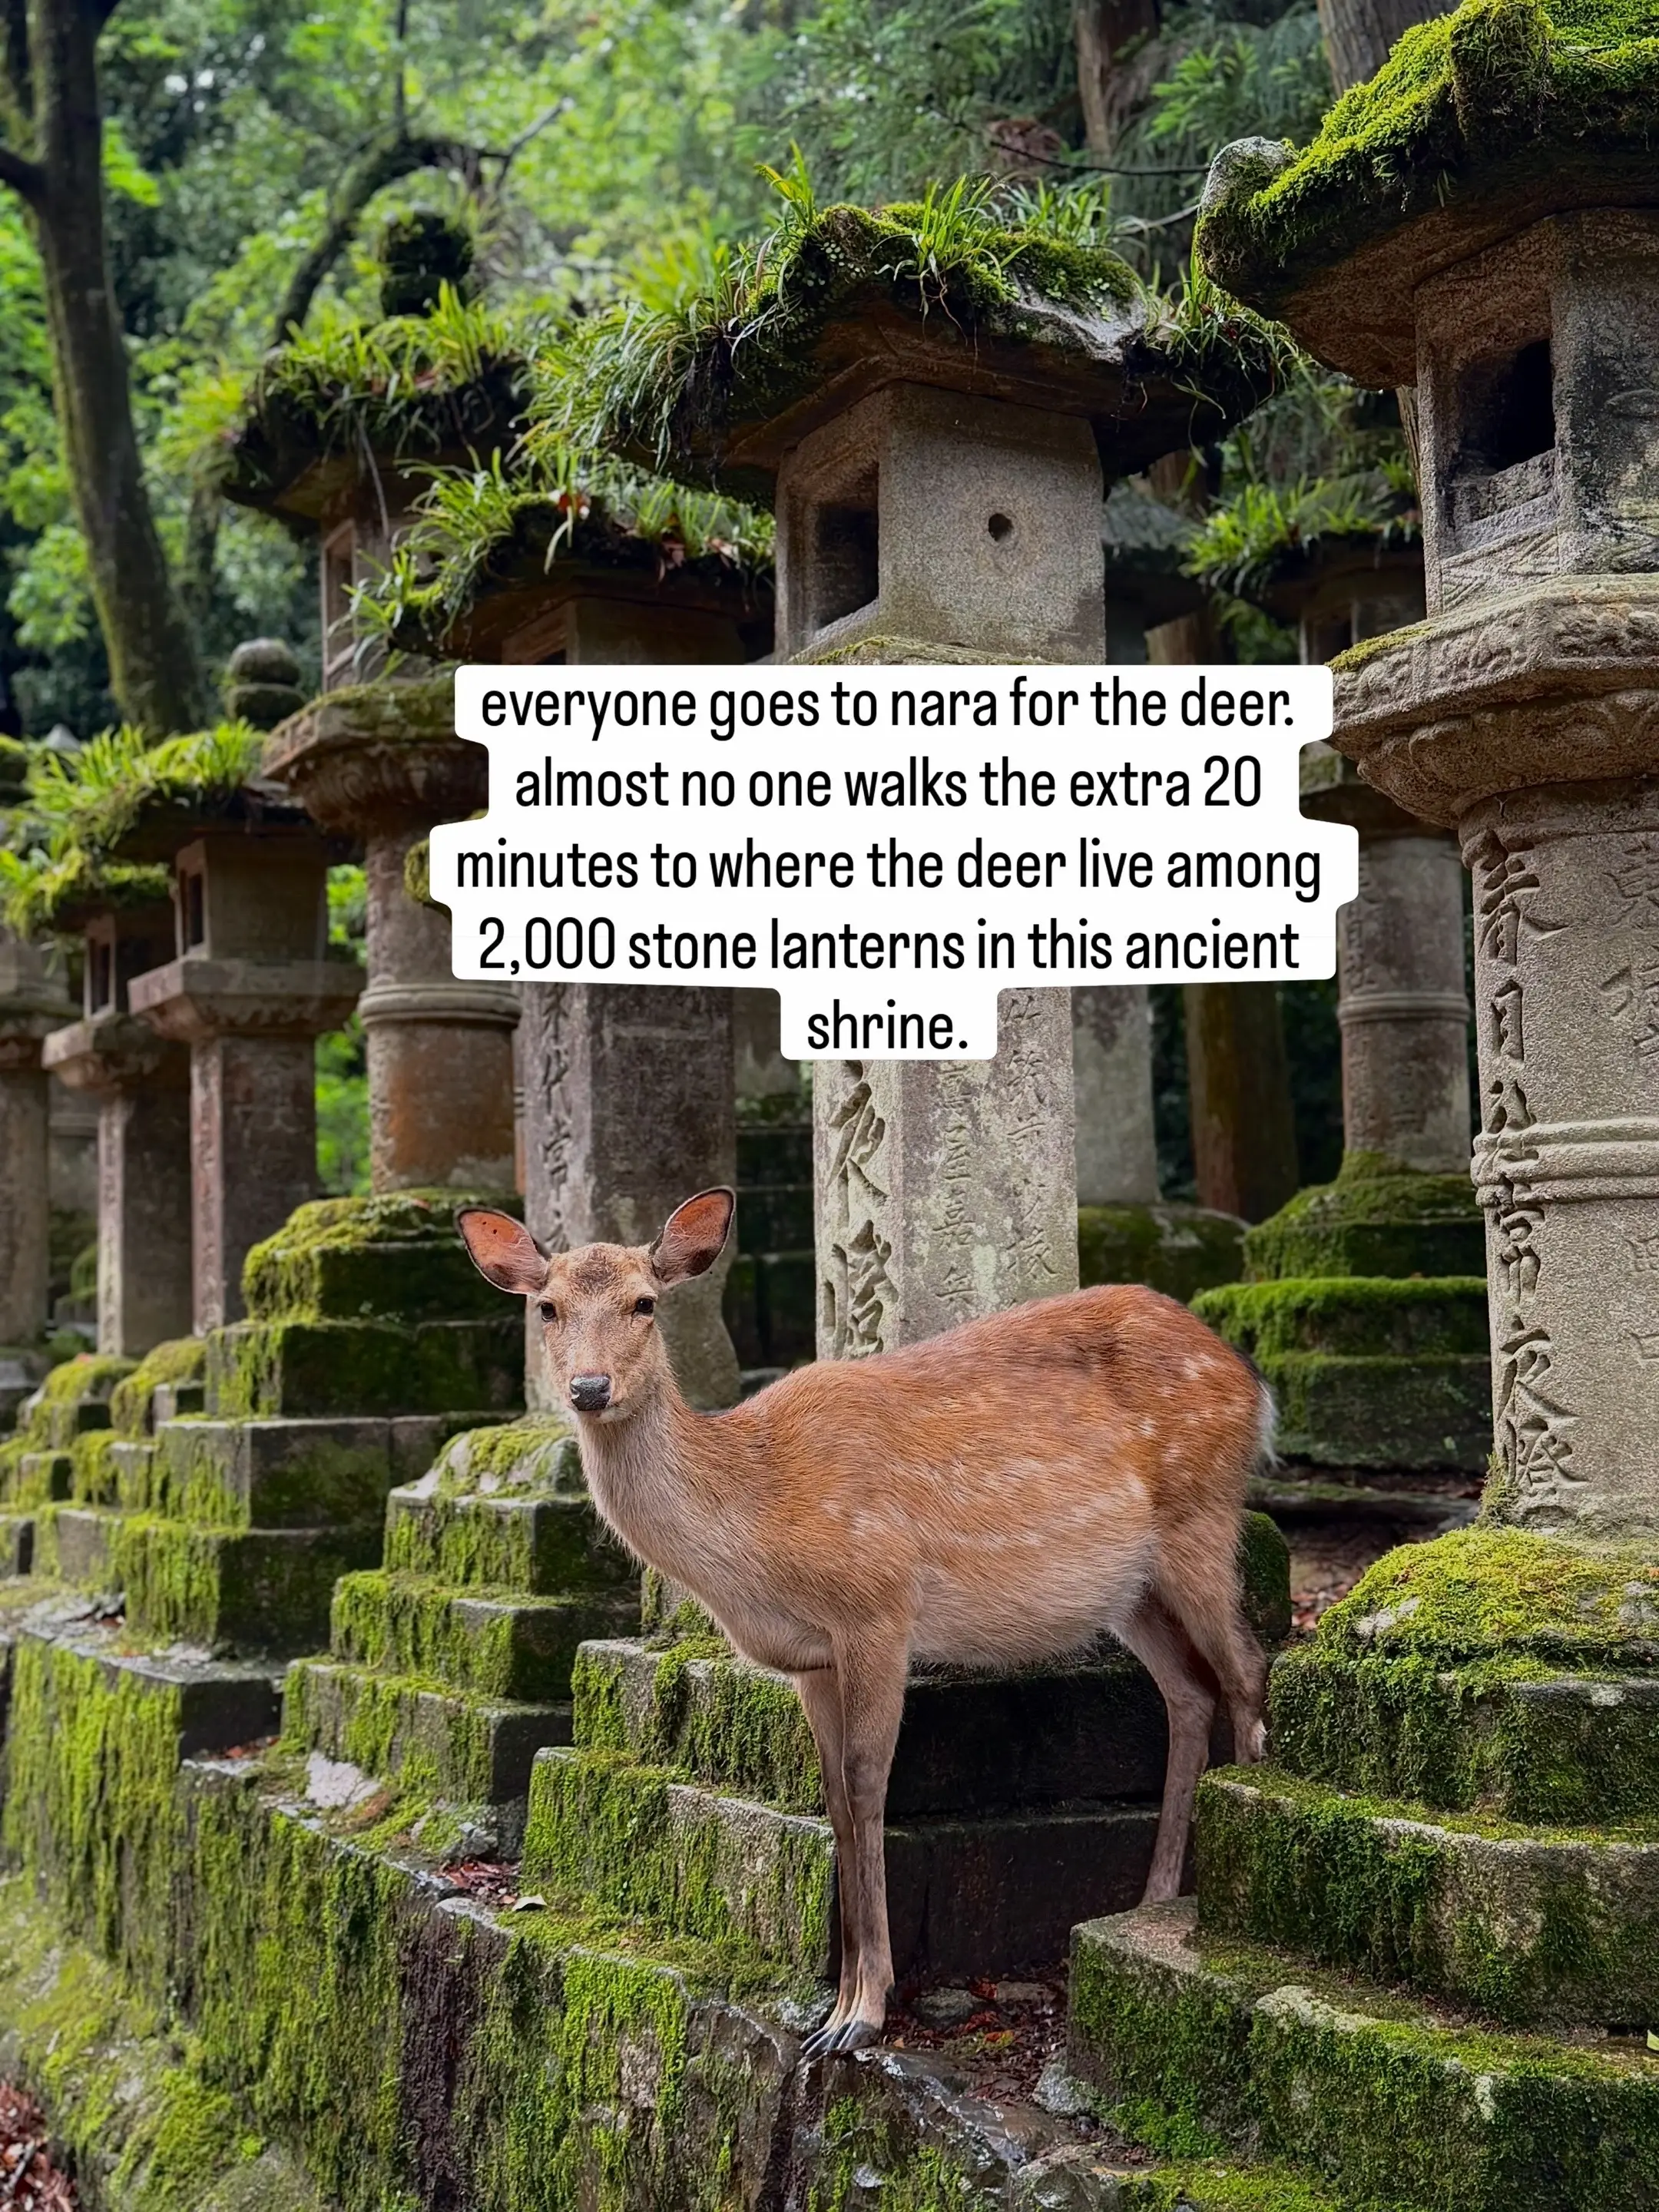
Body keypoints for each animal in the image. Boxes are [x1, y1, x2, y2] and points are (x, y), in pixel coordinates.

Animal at [458, 1188, 1271, 2061]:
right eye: (547, 1307)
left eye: (645, 1303)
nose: (589, 1386)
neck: (756, 1517)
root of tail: (1250, 1381)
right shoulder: (809, 1659)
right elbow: (833, 1802)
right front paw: (831, 2005)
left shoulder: (877, 1607)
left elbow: (866, 1781)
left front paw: (863, 2014)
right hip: (1129, 1589)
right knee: (1190, 1692)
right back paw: (1149, 1902)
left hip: (1201, 1515)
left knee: (1247, 1670)